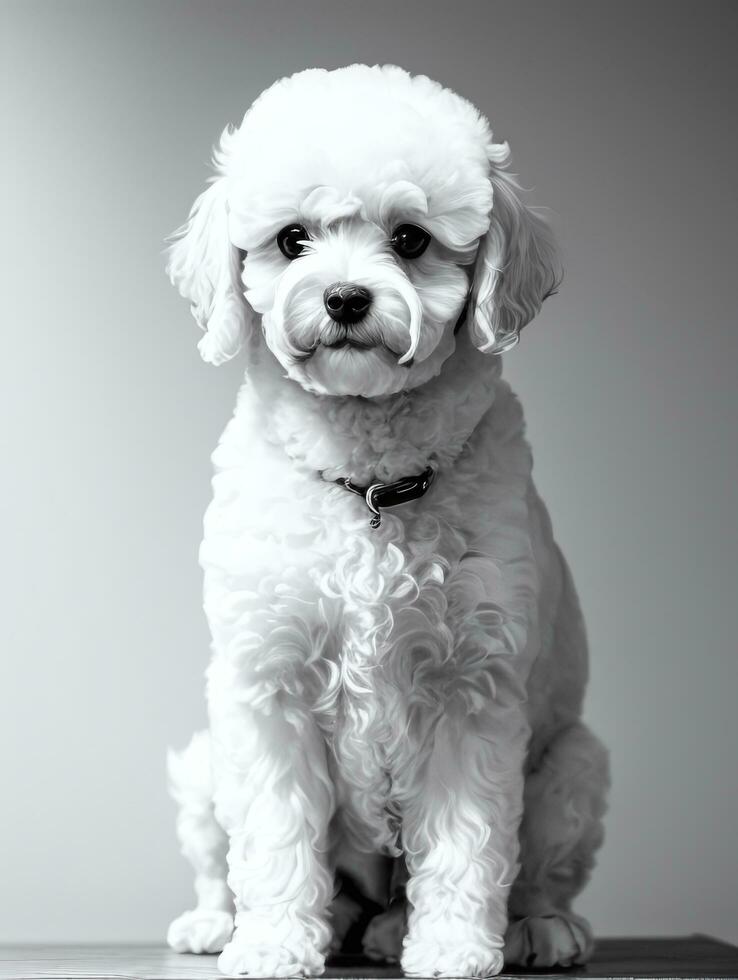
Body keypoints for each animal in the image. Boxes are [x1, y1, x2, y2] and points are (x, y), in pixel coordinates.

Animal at [164, 65, 608, 976]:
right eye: (292, 240)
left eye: (410, 239)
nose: (344, 298)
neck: (368, 486)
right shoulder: (267, 682)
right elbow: (273, 836)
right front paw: (273, 943)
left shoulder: (475, 687)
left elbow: (470, 844)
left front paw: (455, 948)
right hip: (201, 762)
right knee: (239, 864)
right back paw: (232, 922)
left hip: (576, 766)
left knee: (534, 871)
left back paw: (525, 927)